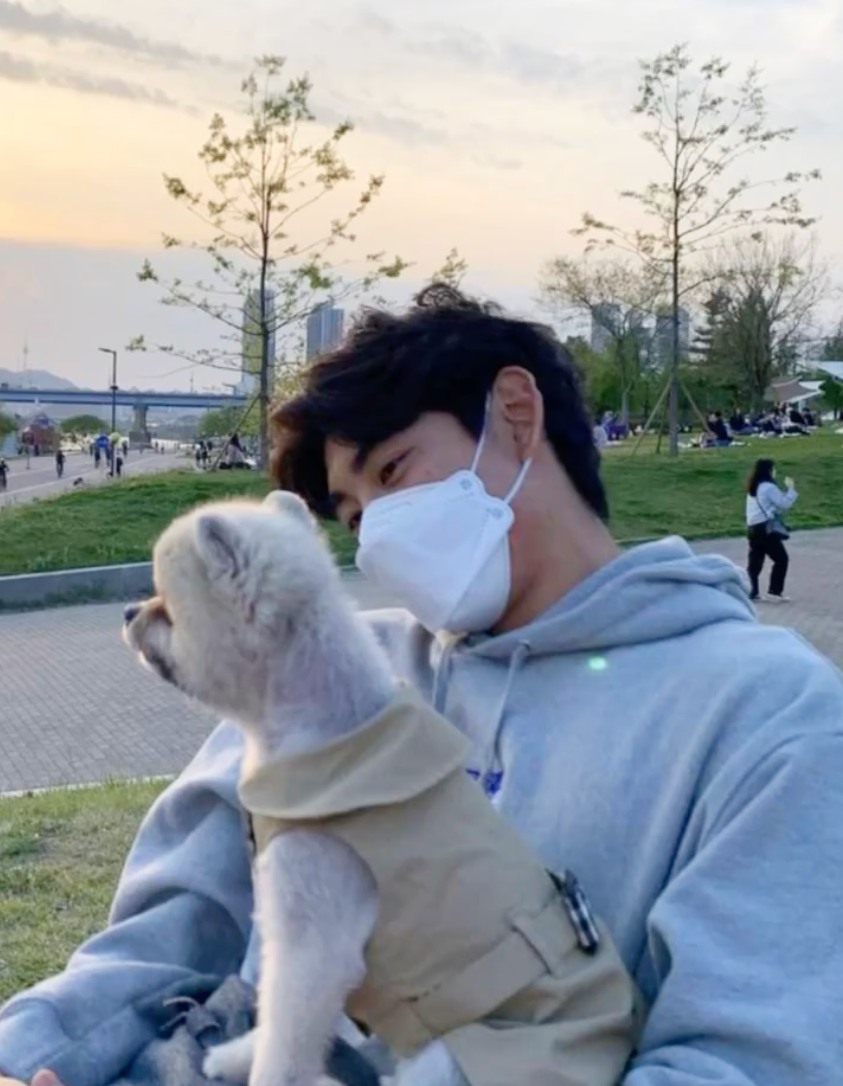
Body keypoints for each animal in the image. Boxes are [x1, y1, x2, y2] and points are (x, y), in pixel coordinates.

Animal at [124, 492, 638, 1086]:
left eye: (168, 609)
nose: (129, 612)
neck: (322, 733)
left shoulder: (314, 941)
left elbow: (286, 1041)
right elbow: (276, 1023)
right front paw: (236, 1054)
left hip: (460, 1056)